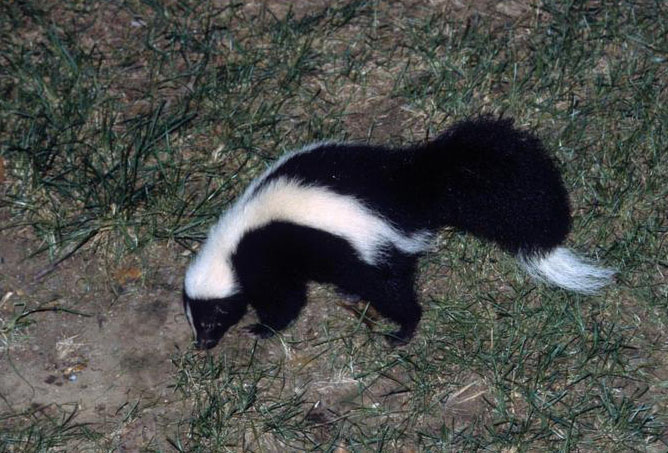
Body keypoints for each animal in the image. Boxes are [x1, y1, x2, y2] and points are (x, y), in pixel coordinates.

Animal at [181, 117, 612, 350]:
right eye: (195, 320)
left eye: (212, 319)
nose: (202, 345)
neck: (232, 242)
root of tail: (413, 185)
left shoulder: (269, 258)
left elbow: (286, 300)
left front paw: (263, 328)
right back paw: (354, 297)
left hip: (369, 248)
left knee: (394, 292)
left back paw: (403, 331)